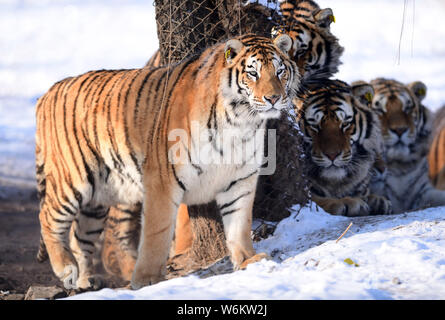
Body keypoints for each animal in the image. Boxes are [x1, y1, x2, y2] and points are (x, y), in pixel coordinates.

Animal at [34, 33, 298, 290]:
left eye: (279, 71)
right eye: (253, 73)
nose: (274, 98)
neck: (241, 123)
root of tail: (48, 93)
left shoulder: (240, 180)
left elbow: (240, 224)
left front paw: (247, 260)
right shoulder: (162, 179)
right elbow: (157, 232)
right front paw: (146, 280)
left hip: (98, 197)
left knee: (80, 236)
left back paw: (84, 280)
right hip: (74, 177)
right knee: (47, 217)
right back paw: (65, 268)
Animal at [294, 79, 392, 216]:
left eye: (345, 123)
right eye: (314, 125)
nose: (332, 155)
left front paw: (379, 202)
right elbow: (314, 200)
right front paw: (348, 203)